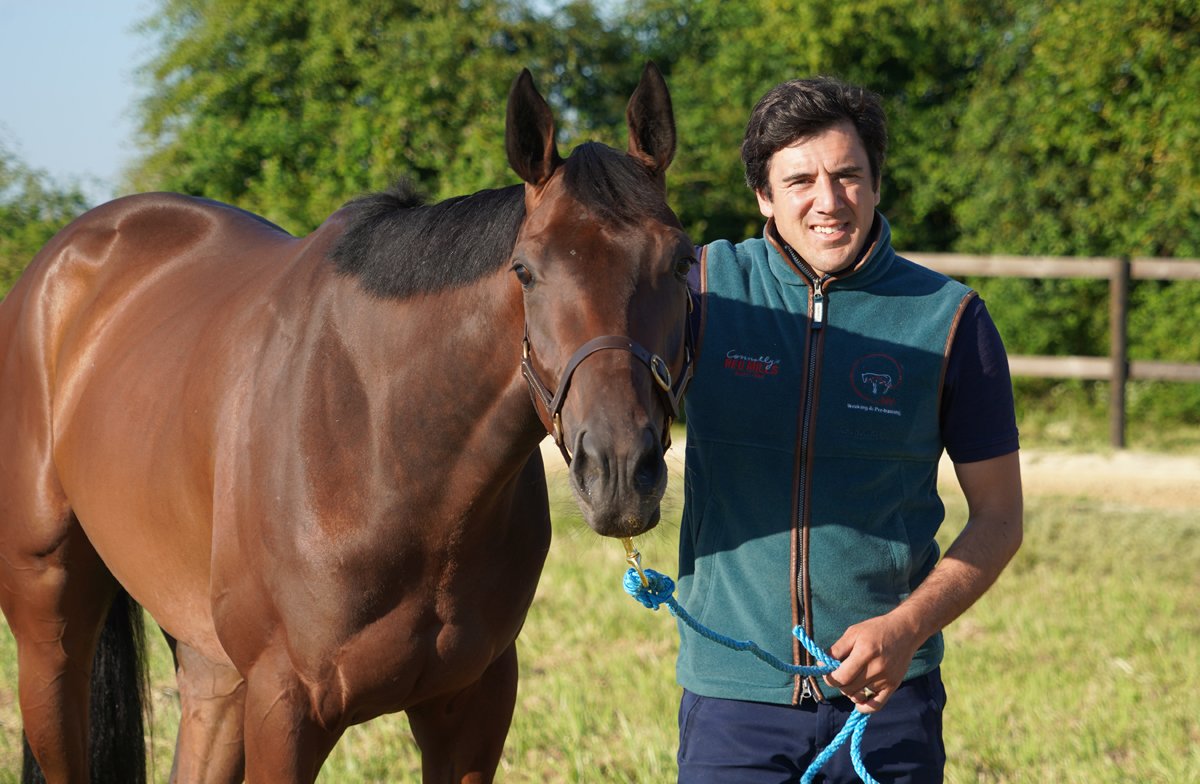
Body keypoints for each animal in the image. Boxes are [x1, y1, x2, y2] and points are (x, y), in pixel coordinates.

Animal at [0, 63, 693, 783]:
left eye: (680, 259)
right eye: (525, 271)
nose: (619, 470)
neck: (385, 448)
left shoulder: (473, 705)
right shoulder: (284, 705)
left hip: (211, 670)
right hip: (49, 631)